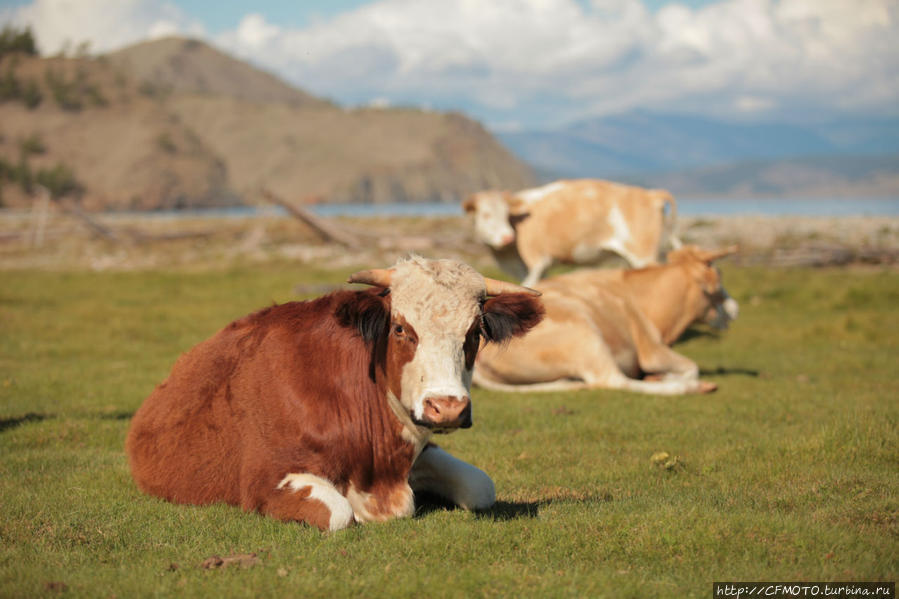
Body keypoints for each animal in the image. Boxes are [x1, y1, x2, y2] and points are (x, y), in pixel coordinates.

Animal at [126, 255, 544, 532]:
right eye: (399, 329)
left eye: (474, 332)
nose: (447, 408)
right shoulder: (266, 479)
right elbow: (339, 514)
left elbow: (481, 486)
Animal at [464, 177, 684, 288]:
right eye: (485, 214)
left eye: (505, 213)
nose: (507, 237)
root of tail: (650, 194)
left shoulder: (537, 261)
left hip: (643, 254)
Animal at [472, 246, 740, 396]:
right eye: (718, 277)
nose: (735, 309)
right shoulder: (652, 349)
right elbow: (692, 368)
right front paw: (670, 378)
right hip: (585, 335)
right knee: (614, 381)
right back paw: (694, 388)